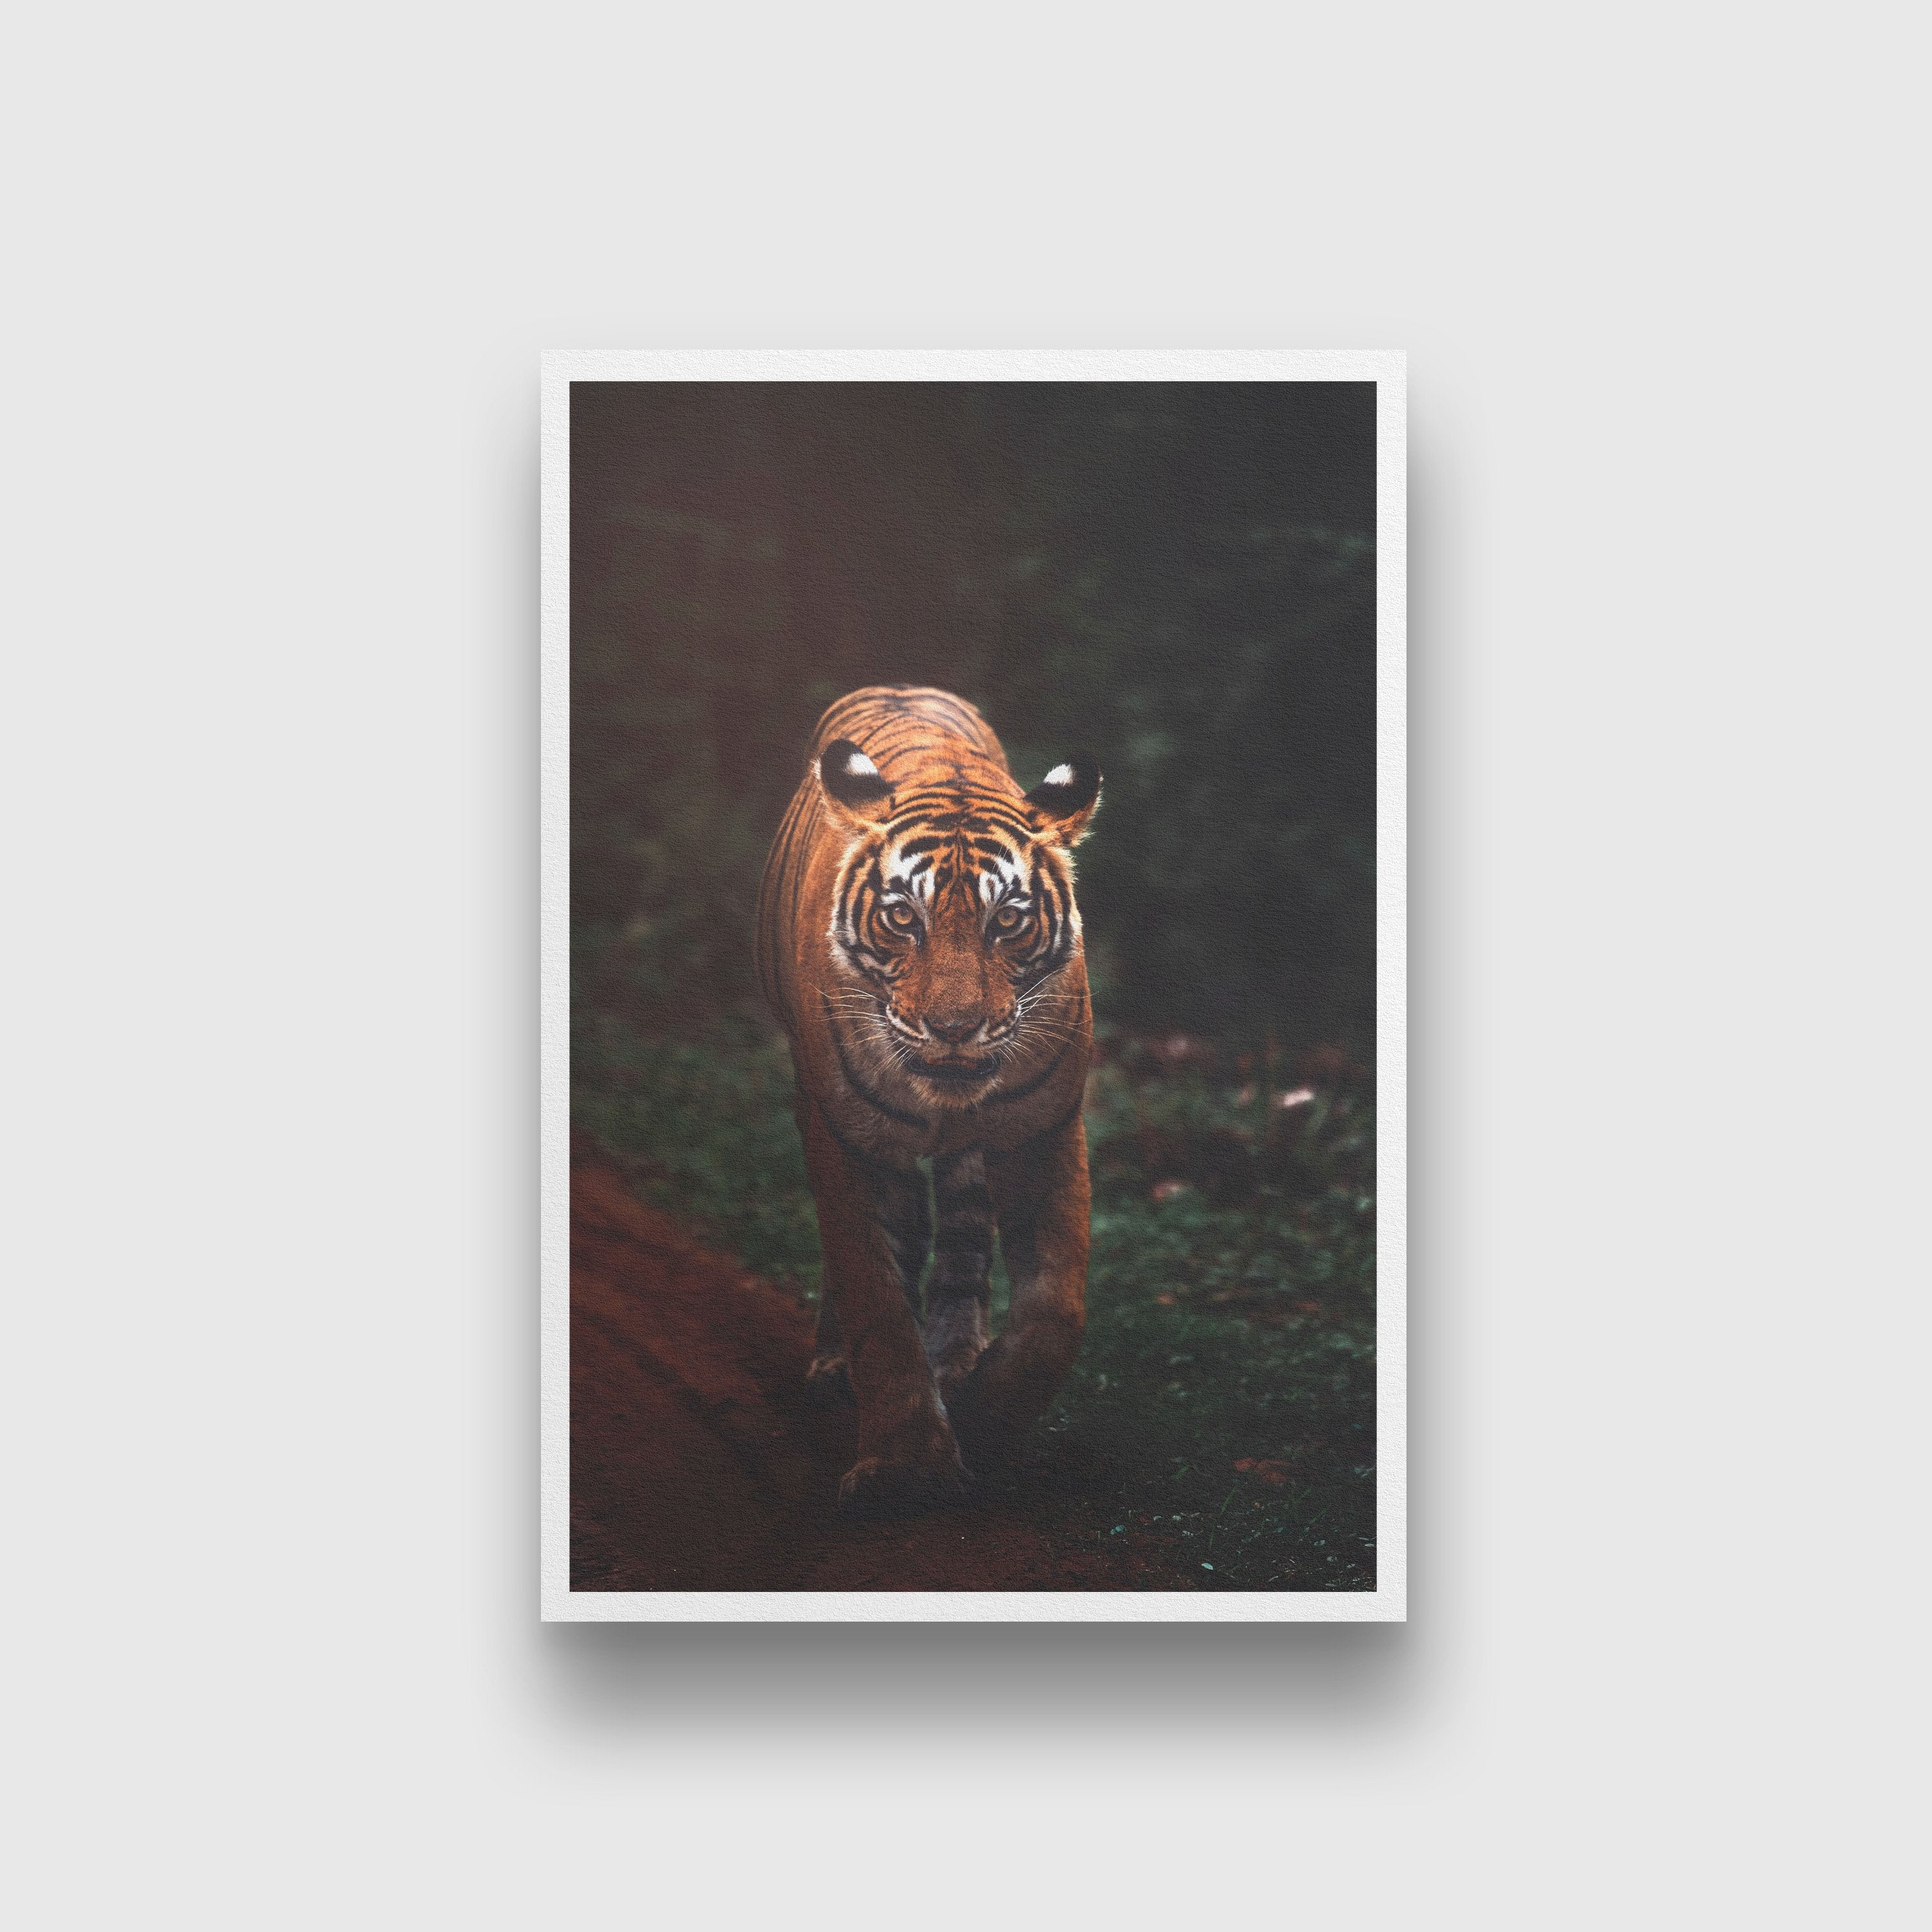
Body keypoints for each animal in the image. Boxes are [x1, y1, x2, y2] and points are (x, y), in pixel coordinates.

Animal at [756, 685, 1101, 1514]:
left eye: (1007, 920)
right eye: (901, 917)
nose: (953, 1028)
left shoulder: (1043, 1127)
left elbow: (1055, 1310)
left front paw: (980, 1418)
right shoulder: (843, 1134)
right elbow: (875, 1295)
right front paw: (906, 1466)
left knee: (964, 1233)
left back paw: (954, 1361)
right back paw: (837, 1369)